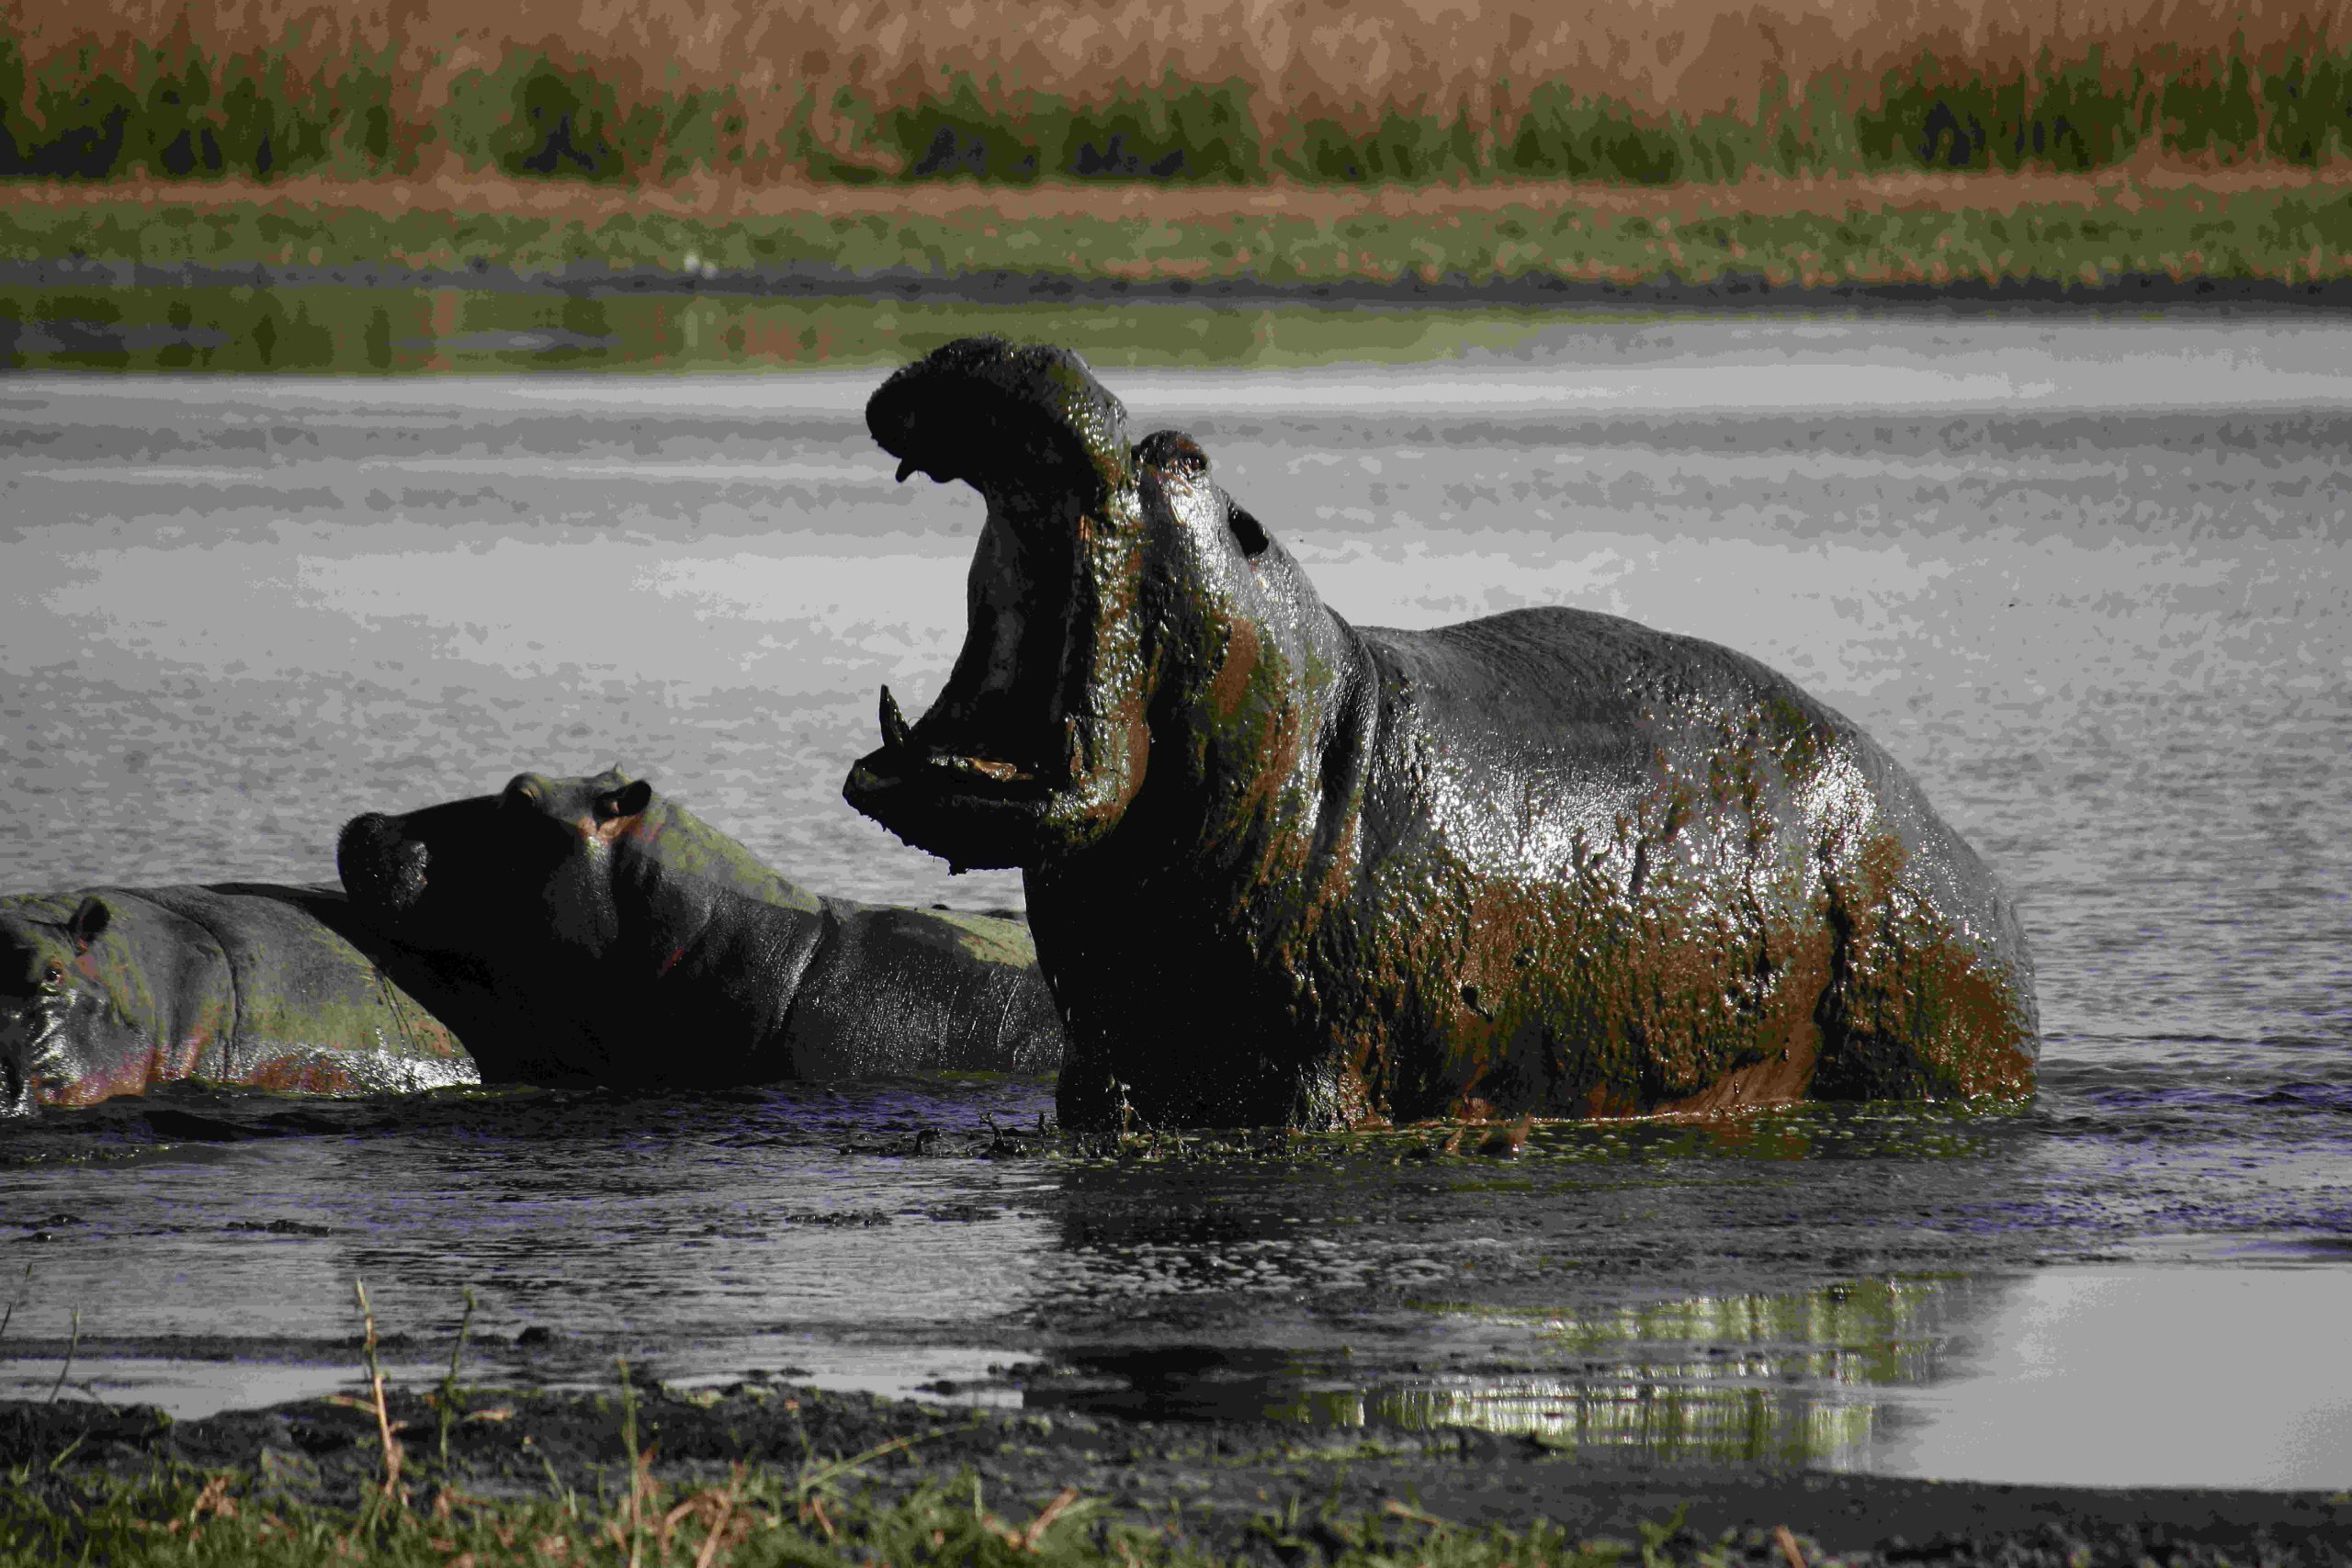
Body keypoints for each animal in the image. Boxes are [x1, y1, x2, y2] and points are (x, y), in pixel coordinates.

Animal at [843, 337, 2039, 1130]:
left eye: (1182, 458)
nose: (1018, 349)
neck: (1314, 738)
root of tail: (1964, 856)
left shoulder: (1320, 1069)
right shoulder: (1102, 1065)